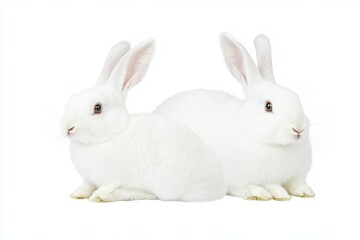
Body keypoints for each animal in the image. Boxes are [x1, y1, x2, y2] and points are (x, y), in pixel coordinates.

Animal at [60, 38, 226, 202]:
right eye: (71, 99)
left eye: (97, 108)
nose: (68, 128)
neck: (112, 135)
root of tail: (218, 188)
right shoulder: (88, 178)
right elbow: (86, 185)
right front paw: (77, 194)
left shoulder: (114, 176)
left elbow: (107, 185)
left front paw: (97, 195)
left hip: (163, 182)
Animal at [155, 32, 316, 201]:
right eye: (268, 106)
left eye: (297, 98)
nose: (298, 129)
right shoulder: (244, 180)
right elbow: (262, 186)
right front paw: (269, 194)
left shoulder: (295, 176)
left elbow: (296, 184)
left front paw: (305, 192)